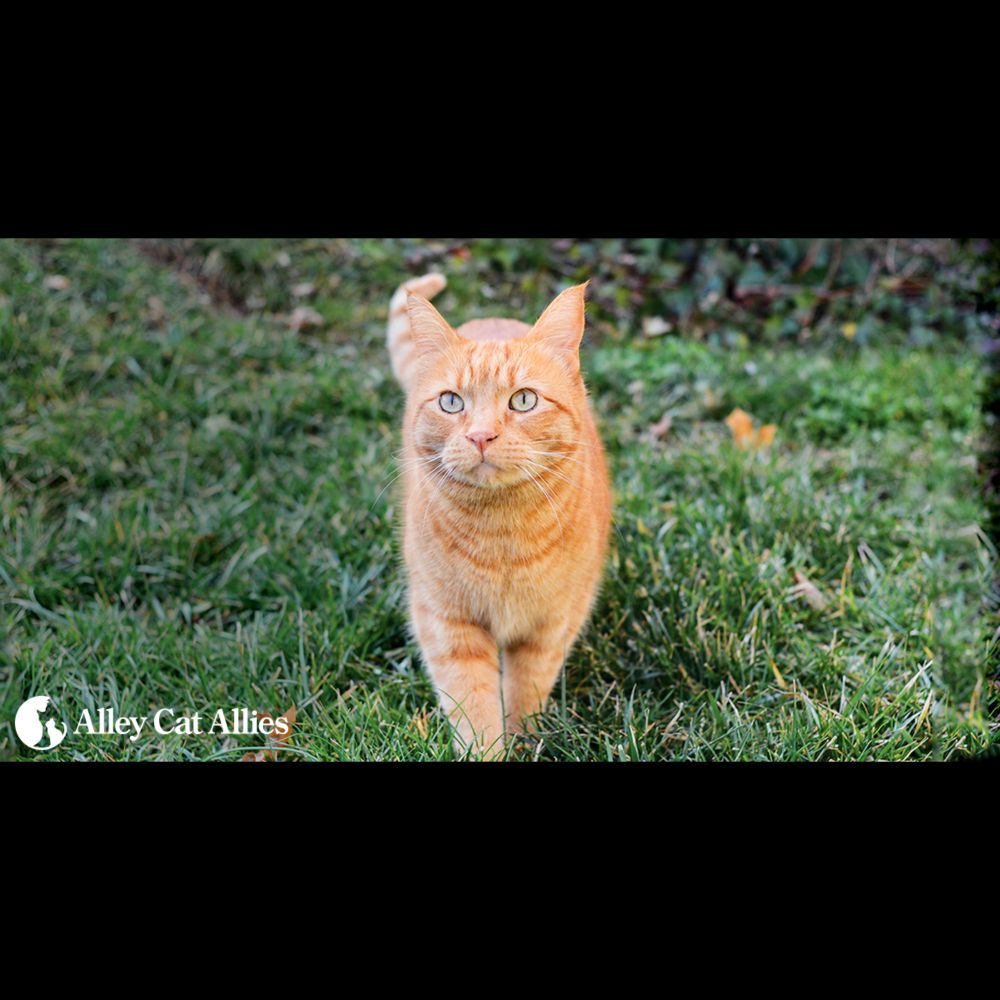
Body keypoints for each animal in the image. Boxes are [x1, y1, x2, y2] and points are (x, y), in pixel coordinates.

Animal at [388, 274, 608, 756]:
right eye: (451, 403)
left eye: (523, 400)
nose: (481, 436)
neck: (501, 535)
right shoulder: (448, 624)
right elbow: (473, 706)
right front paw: (488, 751)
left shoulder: (550, 625)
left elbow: (527, 693)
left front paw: (525, 744)